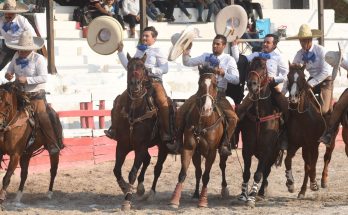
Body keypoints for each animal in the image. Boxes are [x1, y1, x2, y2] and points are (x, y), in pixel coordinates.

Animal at [112, 53, 171, 210]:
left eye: (143, 68)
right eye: (128, 67)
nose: (135, 84)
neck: (136, 110)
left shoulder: (140, 147)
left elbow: (132, 173)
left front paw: (127, 200)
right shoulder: (122, 145)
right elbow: (117, 170)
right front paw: (124, 187)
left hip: (162, 147)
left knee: (157, 168)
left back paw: (150, 193)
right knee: (148, 160)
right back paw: (140, 189)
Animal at [169, 64, 228, 208]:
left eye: (215, 84)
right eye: (199, 84)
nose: (206, 109)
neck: (204, 121)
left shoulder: (212, 152)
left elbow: (206, 176)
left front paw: (203, 200)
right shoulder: (189, 149)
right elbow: (183, 173)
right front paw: (175, 199)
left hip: (221, 152)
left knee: (222, 166)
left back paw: (224, 189)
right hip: (197, 153)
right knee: (198, 172)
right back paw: (196, 193)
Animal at [238, 56, 284, 207]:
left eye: (263, 67)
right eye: (250, 66)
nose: (251, 84)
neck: (260, 115)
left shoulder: (266, 150)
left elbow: (258, 173)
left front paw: (252, 197)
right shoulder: (247, 148)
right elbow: (246, 173)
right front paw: (243, 194)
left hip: (273, 154)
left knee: (266, 171)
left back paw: (261, 192)